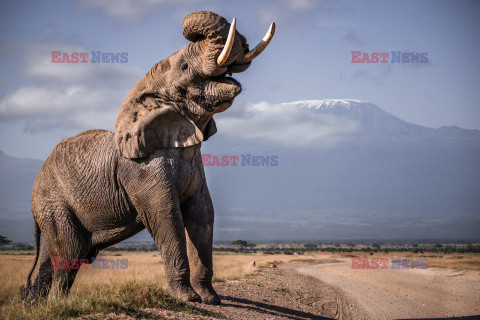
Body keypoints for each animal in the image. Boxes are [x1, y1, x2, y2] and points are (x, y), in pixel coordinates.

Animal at [19, 10, 274, 304]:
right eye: (184, 67)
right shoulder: (141, 168)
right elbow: (167, 214)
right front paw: (188, 298)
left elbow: (203, 214)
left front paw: (211, 299)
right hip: (53, 204)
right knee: (68, 253)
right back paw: (55, 304)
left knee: (55, 257)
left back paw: (35, 305)